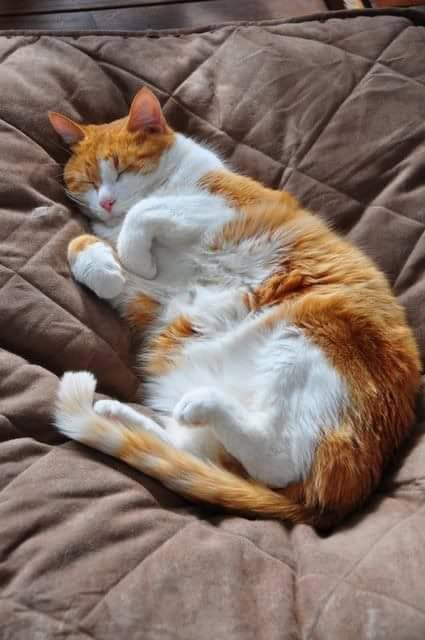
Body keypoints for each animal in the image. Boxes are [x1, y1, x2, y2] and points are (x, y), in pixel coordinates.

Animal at [49, 87, 418, 528]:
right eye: (88, 180)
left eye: (120, 169)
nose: (105, 203)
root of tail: (335, 503)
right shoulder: (145, 290)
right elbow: (79, 246)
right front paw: (106, 267)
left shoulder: (226, 206)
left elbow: (144, 212)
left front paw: (133, 249)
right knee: (195, 454)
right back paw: (117, 413)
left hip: (309, 335)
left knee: (277, 459)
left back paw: (204, 404)